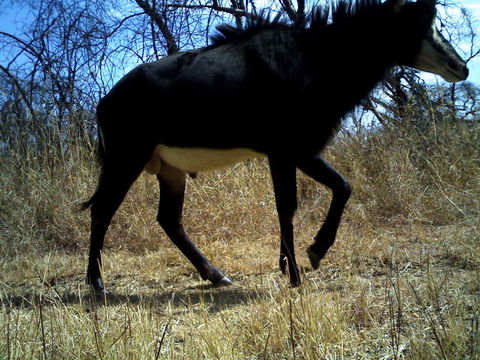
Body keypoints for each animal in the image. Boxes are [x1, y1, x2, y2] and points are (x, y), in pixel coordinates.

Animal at [82, 0, 468, 292]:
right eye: (421, 23)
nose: (460, 67)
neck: (315, 57)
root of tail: (104, 102)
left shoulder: (298, 152)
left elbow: (340, 188)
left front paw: (298, 259)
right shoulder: (288, 150)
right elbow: (291, 206)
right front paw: (299, 269)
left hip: (171, 170)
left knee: (169, 220)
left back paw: (216, 275)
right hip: (126, 158)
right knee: (103, 209)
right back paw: (97, 283)